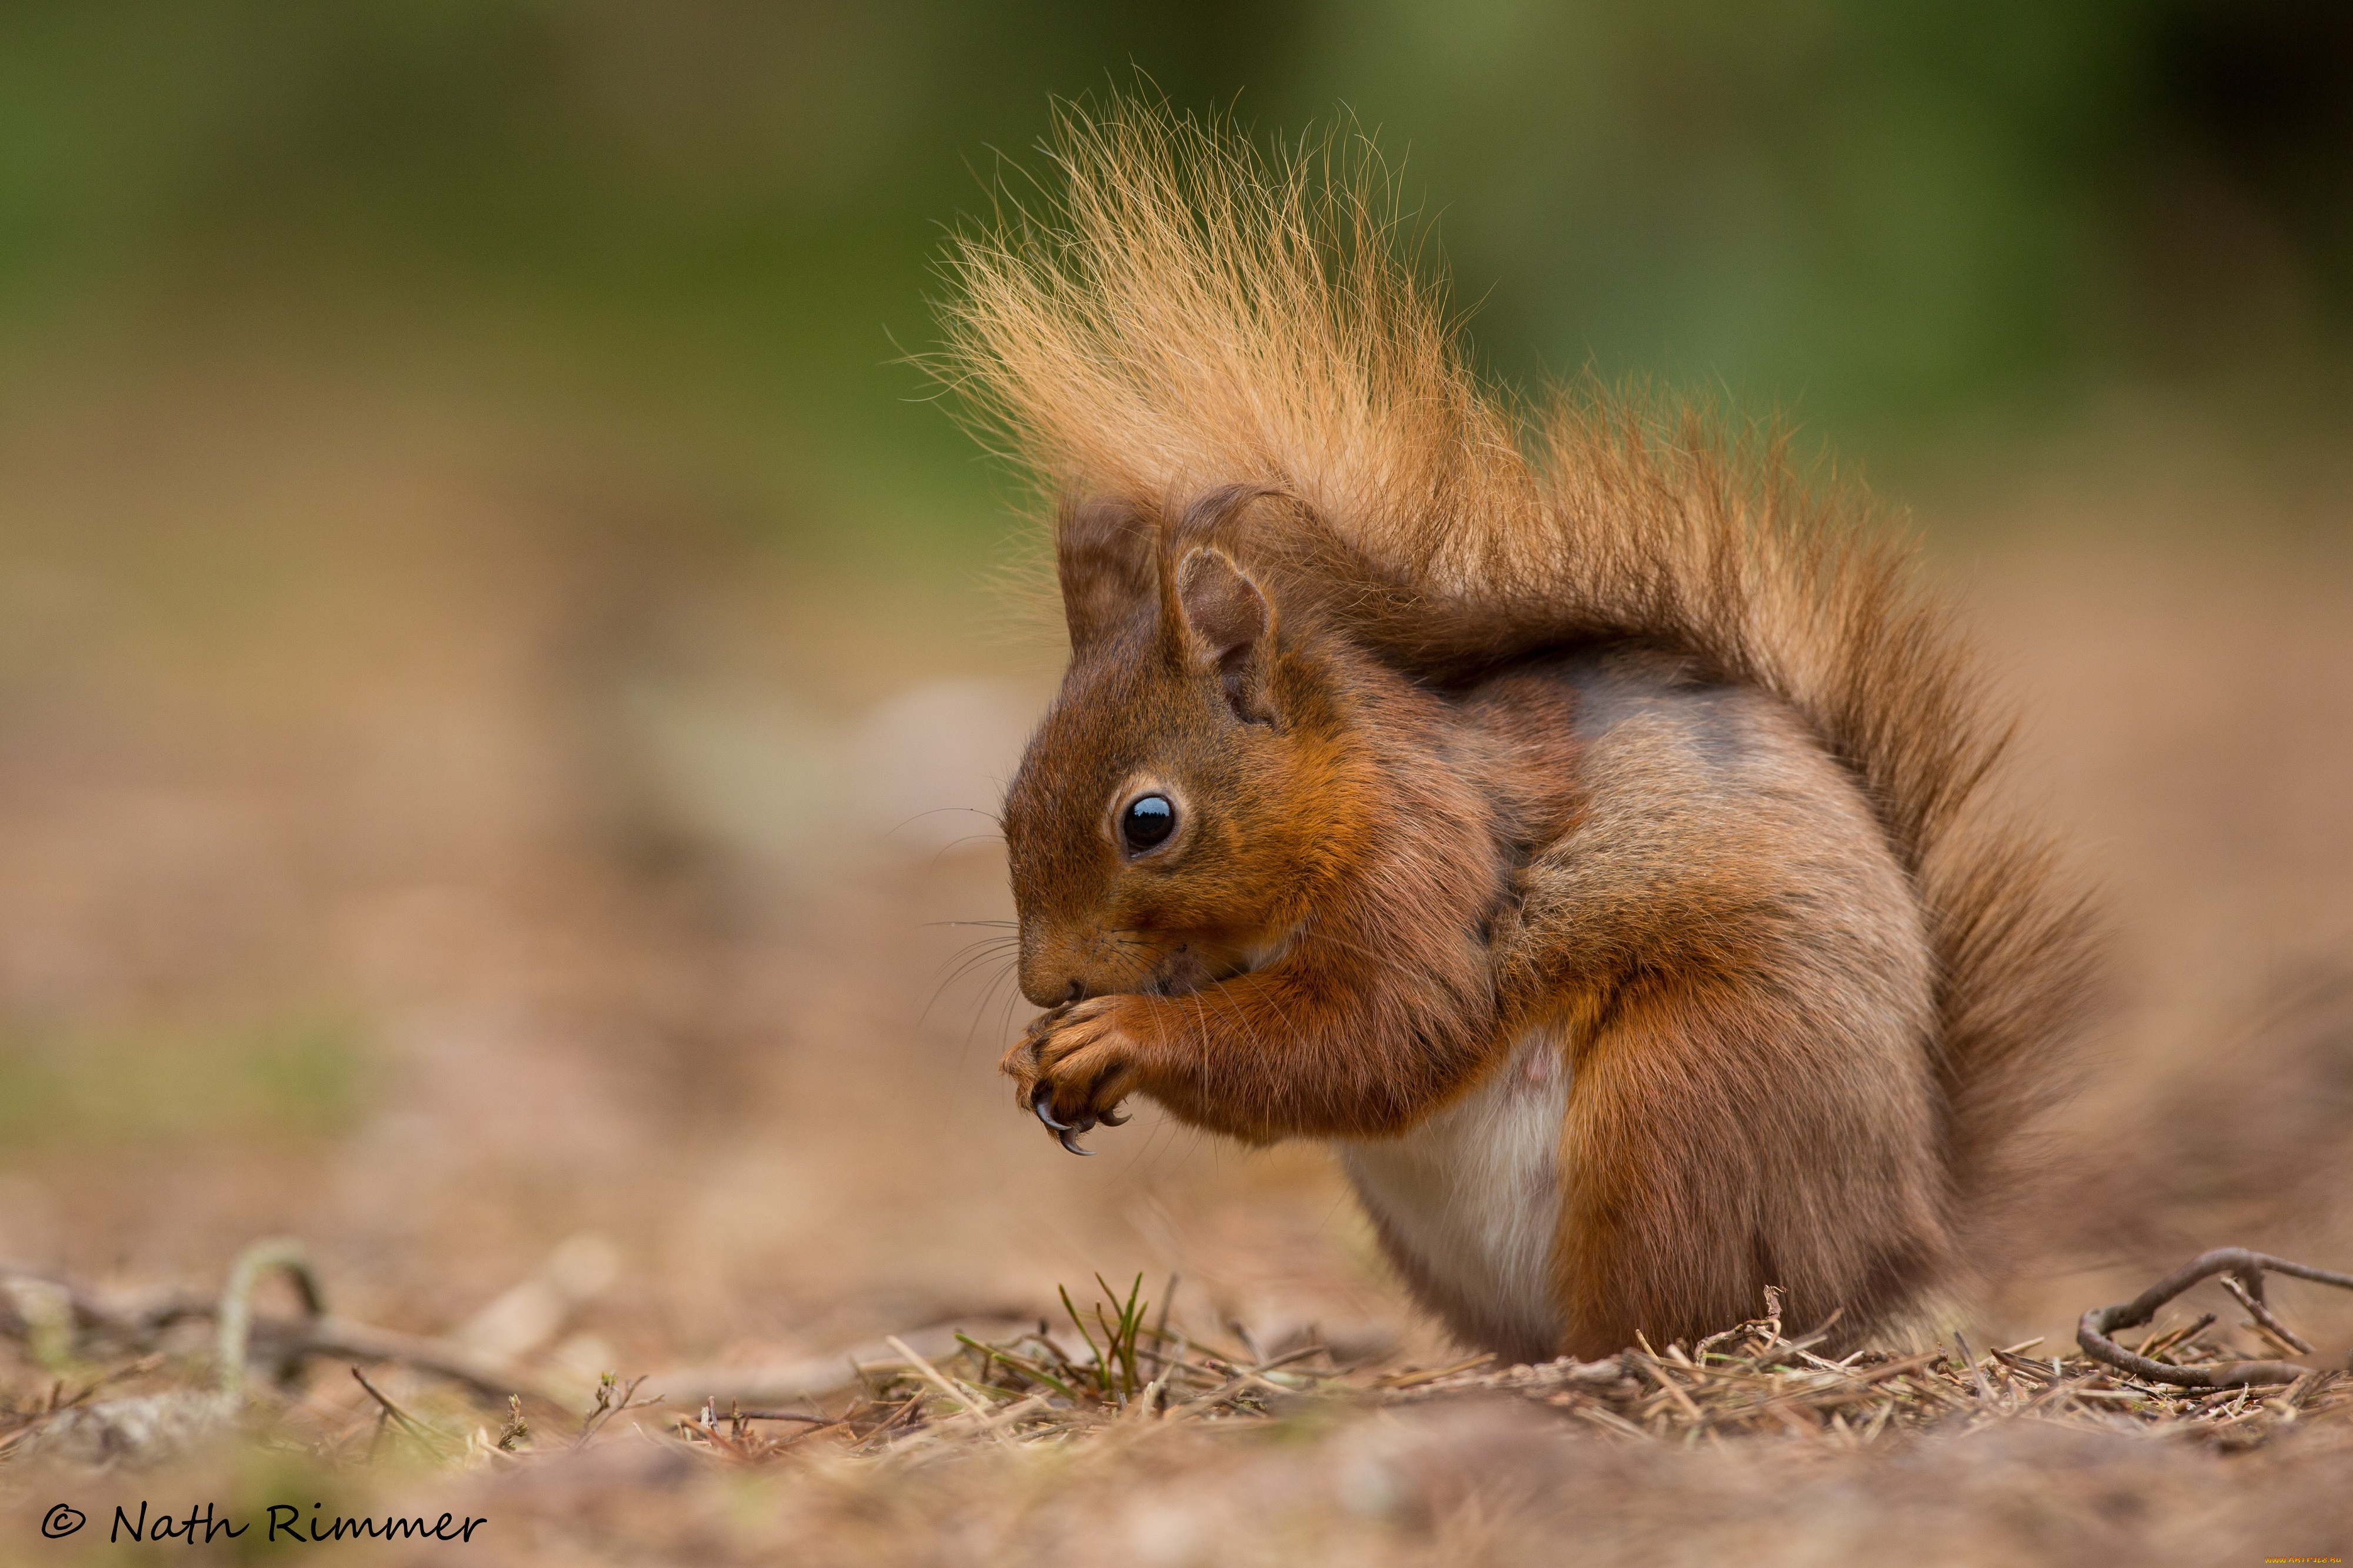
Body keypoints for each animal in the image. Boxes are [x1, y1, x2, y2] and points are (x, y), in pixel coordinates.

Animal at [936, 107, 2099, 1356]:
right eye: (1011, 799)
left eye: (1147, 821)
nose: (1047, 982)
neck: (1350, 789)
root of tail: (1893, 1249)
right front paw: (1036, 1056)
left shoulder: (1427, 871)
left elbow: (1374, 1033)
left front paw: (1116, 1039)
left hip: (1681, 1103)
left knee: (1667, 1302)